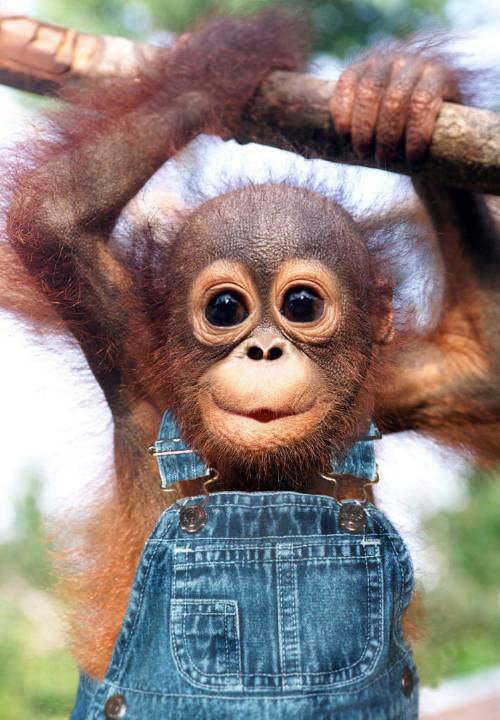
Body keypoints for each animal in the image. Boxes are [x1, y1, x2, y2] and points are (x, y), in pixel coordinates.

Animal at [1, 11, 499, 685]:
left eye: (301, 306)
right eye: (225, 311)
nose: (263, 351)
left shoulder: (398, 382)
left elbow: (480, 365)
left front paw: (404, 87)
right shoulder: (129, 340)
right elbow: (54, 213)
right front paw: (221, 58)